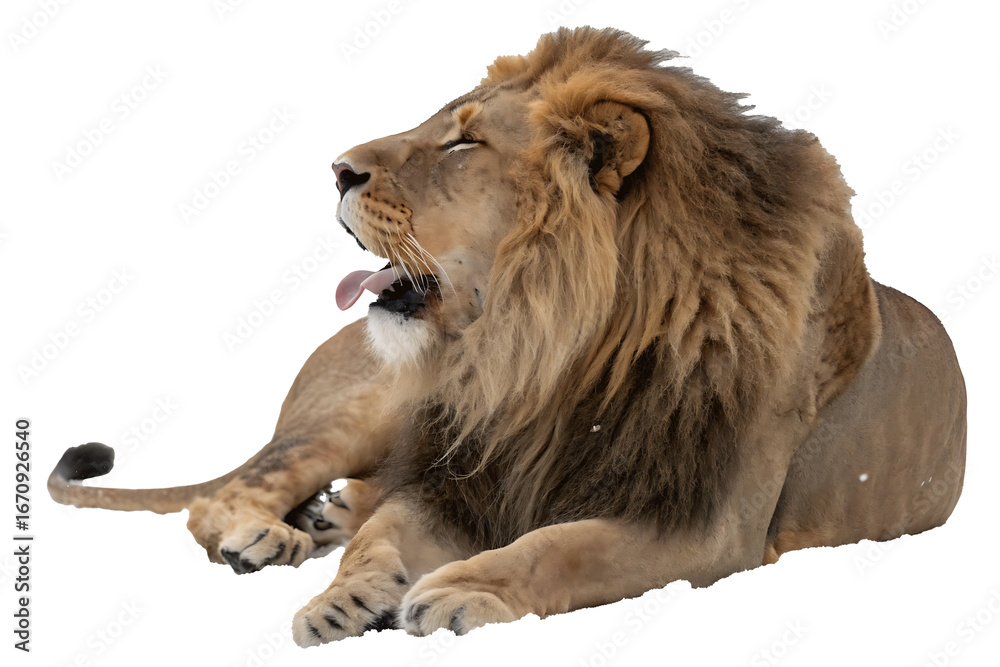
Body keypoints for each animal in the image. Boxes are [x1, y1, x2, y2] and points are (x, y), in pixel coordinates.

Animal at [49, 27, 966, 647]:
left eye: (463, 141)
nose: (335, 169)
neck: (547, 354)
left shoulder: (706, 518)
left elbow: (563, 545)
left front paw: (459, 589)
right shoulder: (463, 471)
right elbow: (387, 534)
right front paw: (342, 597)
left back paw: (322, 520)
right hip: (370, 412)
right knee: (228, 493)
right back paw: (270, 537)